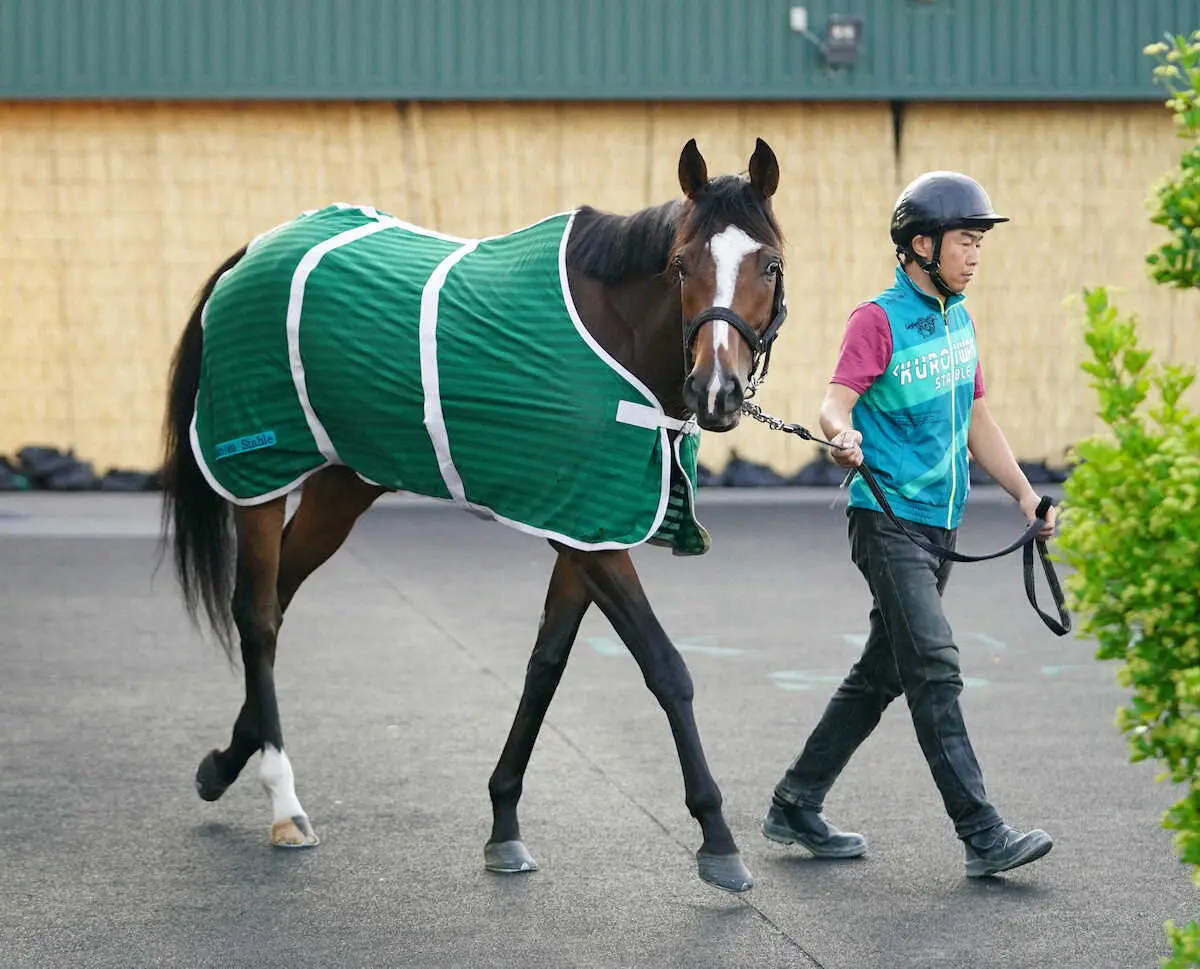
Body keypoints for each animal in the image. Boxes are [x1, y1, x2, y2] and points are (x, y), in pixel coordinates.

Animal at [164, 136, 792, 892]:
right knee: (256, 617)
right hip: (257, 471)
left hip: (341, 488)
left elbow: (545, 665)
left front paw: (504, 821)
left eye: (770, 263)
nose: (717, 391)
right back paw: (283, 802)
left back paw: (224, 763)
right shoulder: (592, 530)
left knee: (276, 600)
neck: (614, 341)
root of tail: (255, 248)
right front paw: (717, 837)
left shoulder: (588, 521)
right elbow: (665, 666)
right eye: (680, 265)